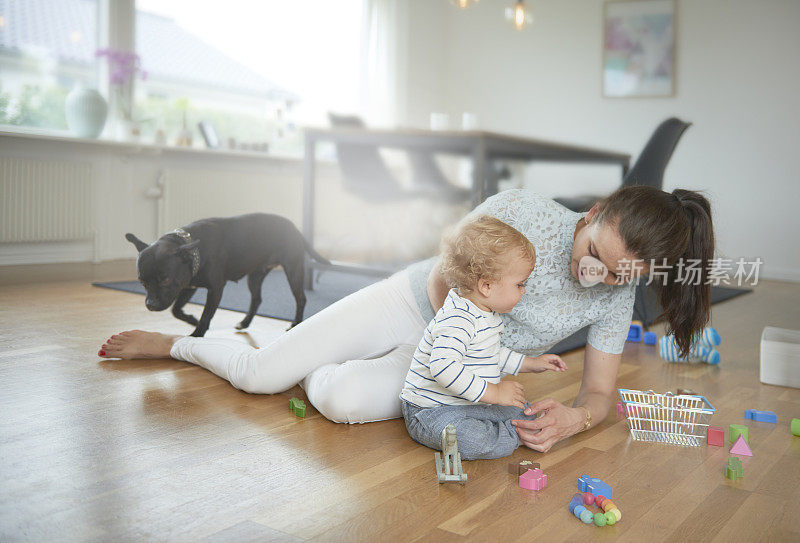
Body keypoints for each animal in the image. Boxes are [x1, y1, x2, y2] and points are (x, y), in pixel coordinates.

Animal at [126, 212, 326, 336]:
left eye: (165, 280)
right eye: (141, 282)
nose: (150, 305)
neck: (191, 246)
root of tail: (294, 228)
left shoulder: (215, 289)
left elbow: (206, 315)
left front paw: (196, 335)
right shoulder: (188, 285)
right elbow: (176, 310)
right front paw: (192, 320)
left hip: (293, 270)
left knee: (301, 299)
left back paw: (296, 324)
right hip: (254, 277)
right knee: (257, 299)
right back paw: (244, 323)